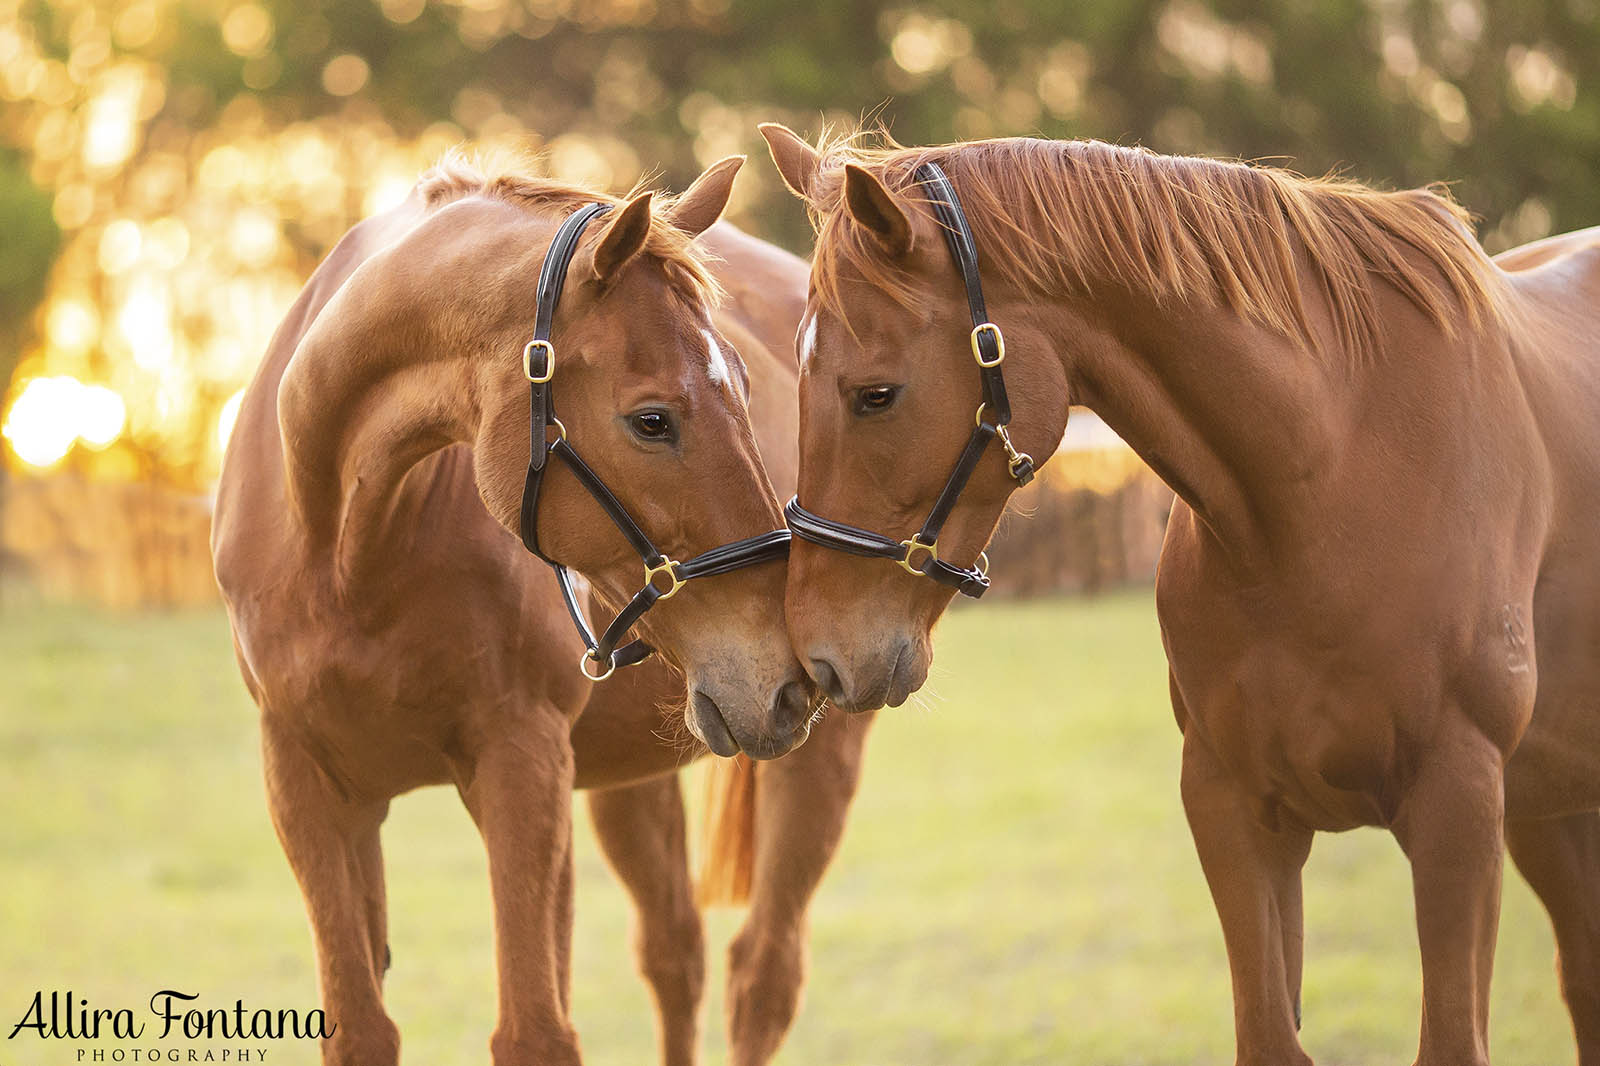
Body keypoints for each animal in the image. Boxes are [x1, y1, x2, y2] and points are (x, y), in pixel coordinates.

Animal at [212, 151, 876, 1062]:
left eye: (743, 385)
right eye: (652, 420)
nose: (782, 679)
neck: (346, 548)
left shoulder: (520, 765)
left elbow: (534, 1029)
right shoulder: (310, 788)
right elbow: (361, 1027)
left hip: (815, 758)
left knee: (761, 978)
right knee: (676, 954)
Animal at [758, 122, 1600, 1062]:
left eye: (875, 395)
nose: (820, 652)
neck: (1336, 477)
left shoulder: (1458, 812)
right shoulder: (1236, 811)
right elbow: (1268, 1036)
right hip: (1552, 817)